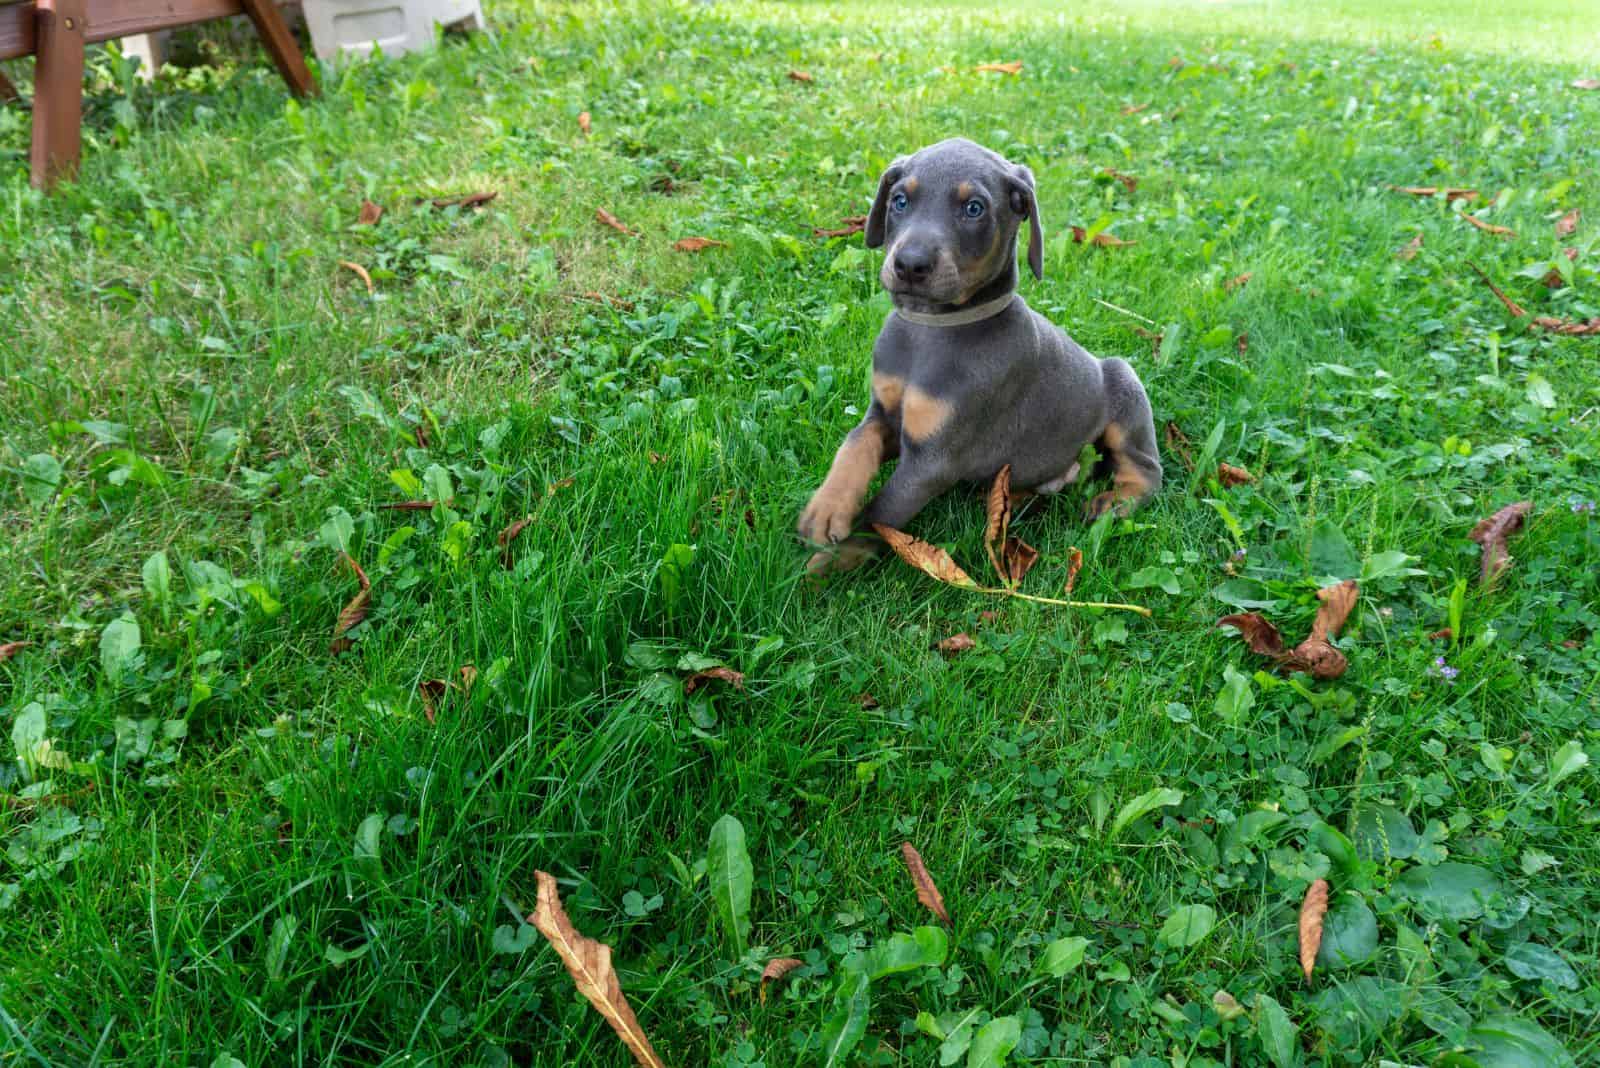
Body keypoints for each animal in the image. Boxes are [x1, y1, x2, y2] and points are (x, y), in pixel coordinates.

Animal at [800, 141, 1164, 575]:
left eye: (974, 208)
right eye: (900, 200)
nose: (909, 265)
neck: (931, 329)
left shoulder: (933, 460)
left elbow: (878, 516)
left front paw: (816, 572)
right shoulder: (886, 414)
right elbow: (856, 443)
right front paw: (828, 508)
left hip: (1124, 386)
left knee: (1147, 470)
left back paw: (1113, 503)